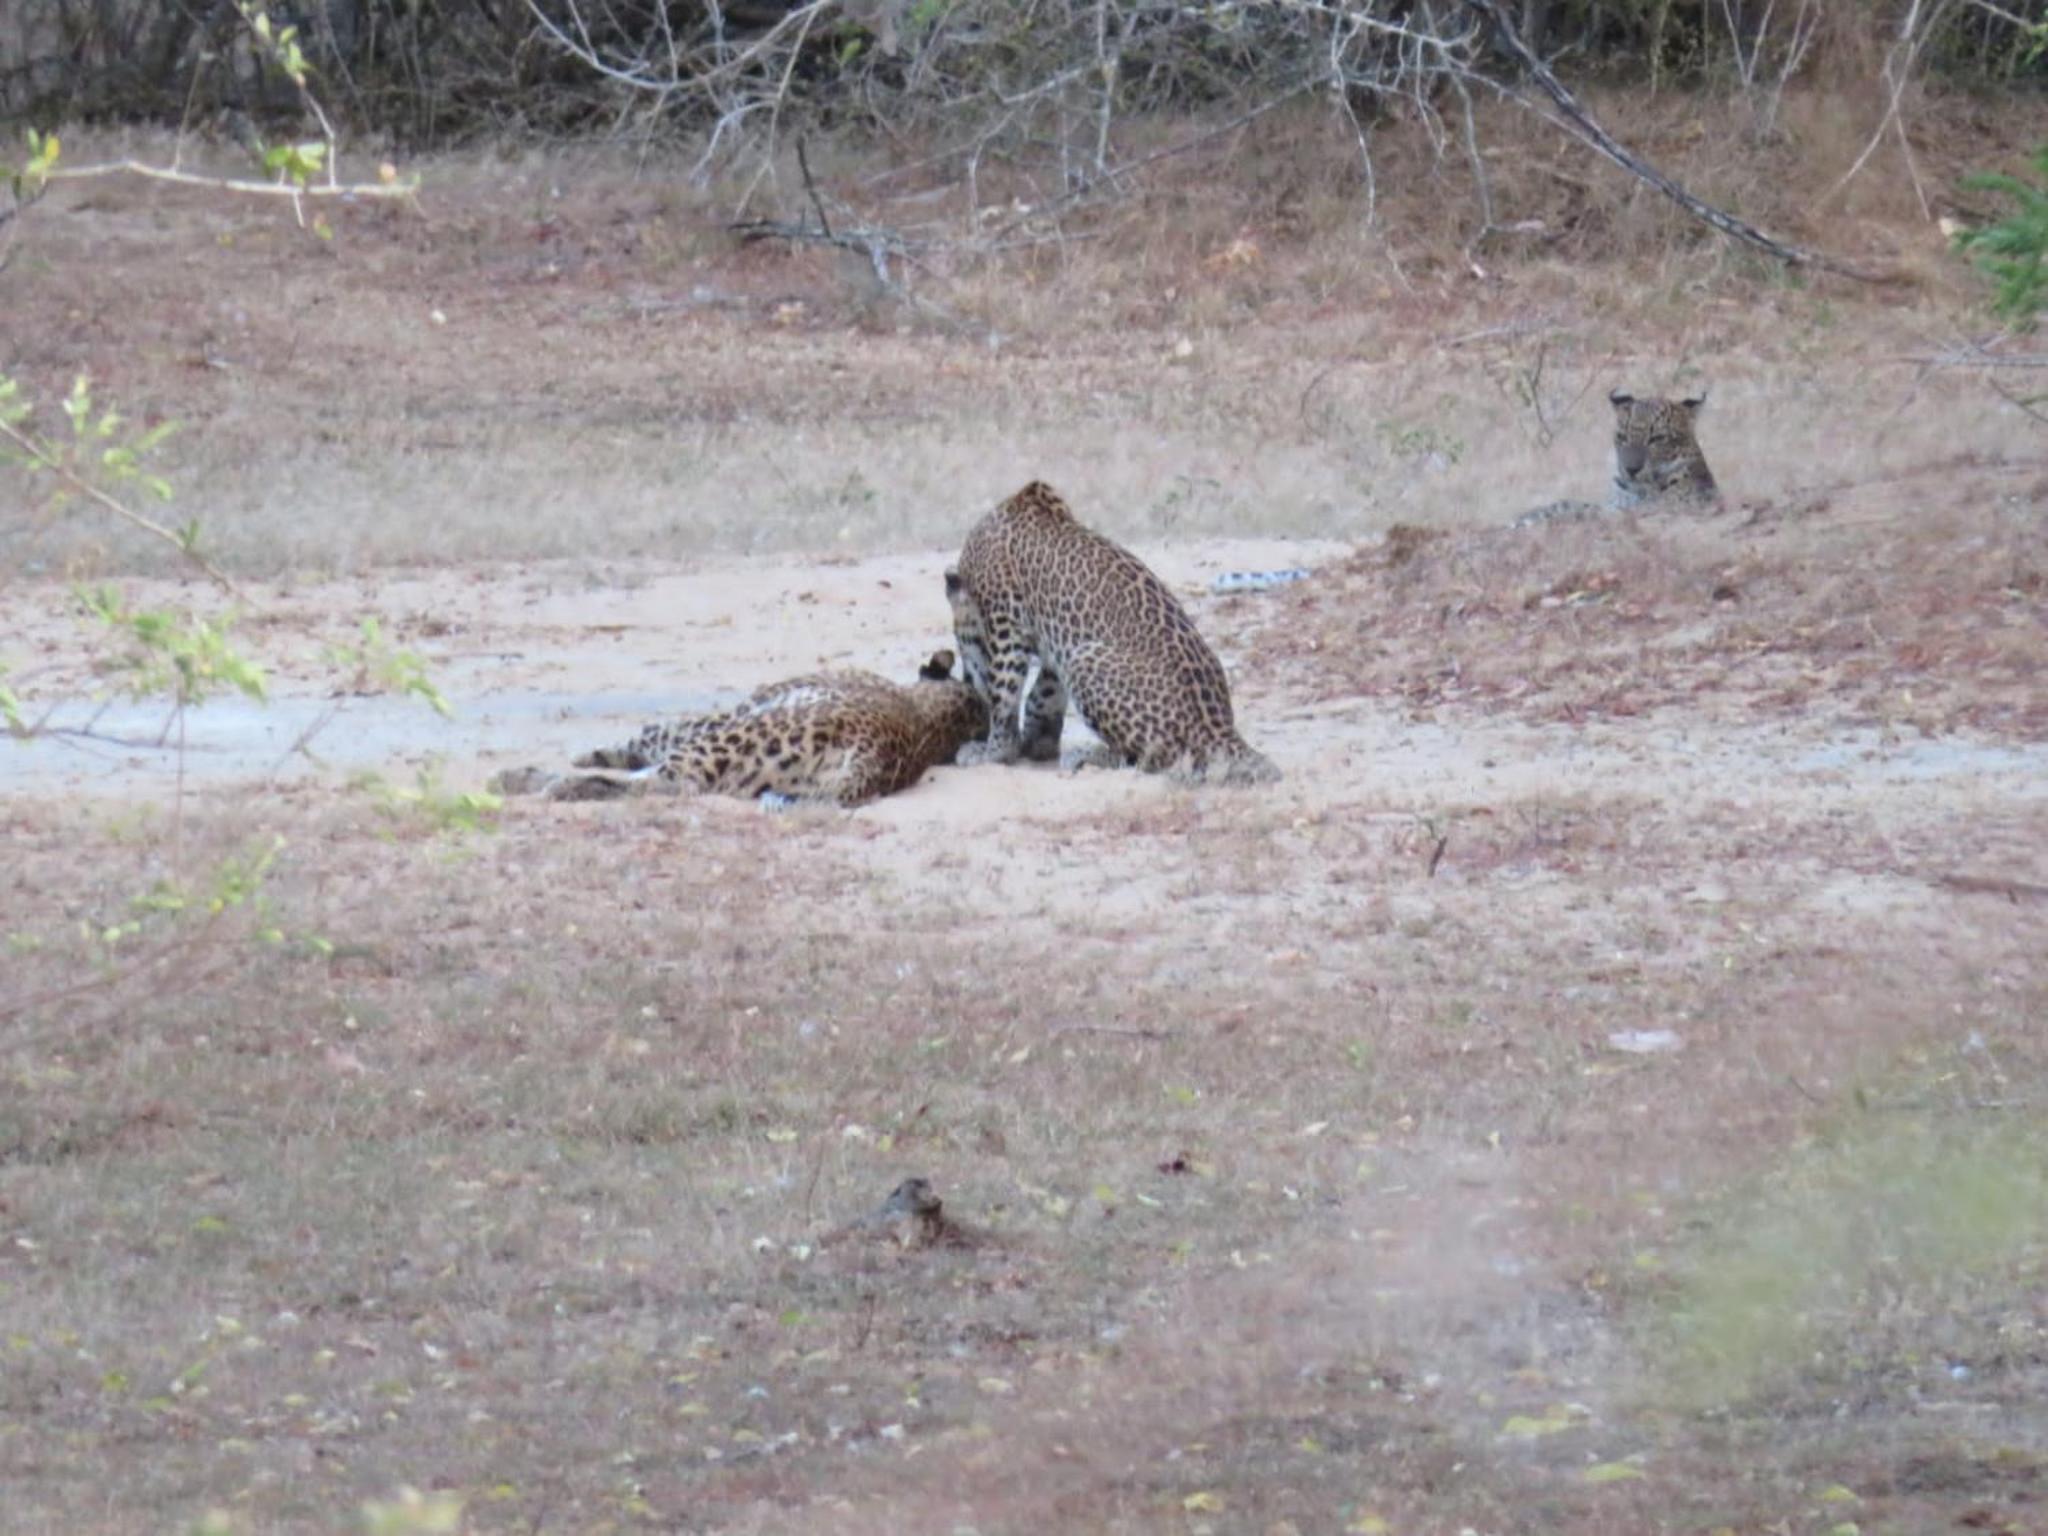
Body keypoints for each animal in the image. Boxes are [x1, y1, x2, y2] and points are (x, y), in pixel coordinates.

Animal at [490, 649, 987, 808]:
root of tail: (875, 757)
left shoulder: (732, 715)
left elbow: (648, 734)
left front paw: (589, 756)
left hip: (729, 743)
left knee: (662, 784)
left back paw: (536, 782)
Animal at [945, 480, 1279, 786]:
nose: (965, 679)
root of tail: (1222, 728)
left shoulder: (1006, 624)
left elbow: (1004, 694)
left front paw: (993, 751)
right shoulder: (1055, 640)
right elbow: (1044, 693)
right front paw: (1035, 741)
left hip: (1085, 658)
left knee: (1154, 757)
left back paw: (1085, 756)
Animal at [1513, 388, 1721, 530]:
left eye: (1657, 438)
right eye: (1622, 436)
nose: (1631, 469)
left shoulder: (1639, 511)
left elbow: (1589, 513)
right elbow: (1568, 504)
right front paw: (1529, 515)